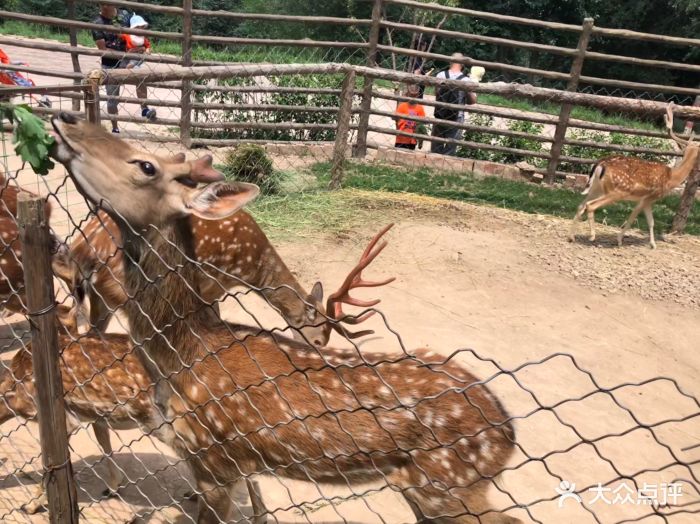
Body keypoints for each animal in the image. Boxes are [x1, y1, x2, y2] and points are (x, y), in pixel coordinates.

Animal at [50, 113, 520, 524]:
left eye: (146, 165)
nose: (66, 118)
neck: (180, 359)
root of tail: (508, 430)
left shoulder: (214, 458)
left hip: (449, 482)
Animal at [572, 104, 696, 250]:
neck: (672, 178)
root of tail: (600, 164)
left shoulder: (645, 200)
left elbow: (650, 221)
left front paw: (653, 244)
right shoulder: (649, 197)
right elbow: (634, 218)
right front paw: (620, 240)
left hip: (596, 188)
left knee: (581, 205)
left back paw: (571, 237)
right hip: (617, 192)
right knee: (590, 205)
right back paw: (592, 236)